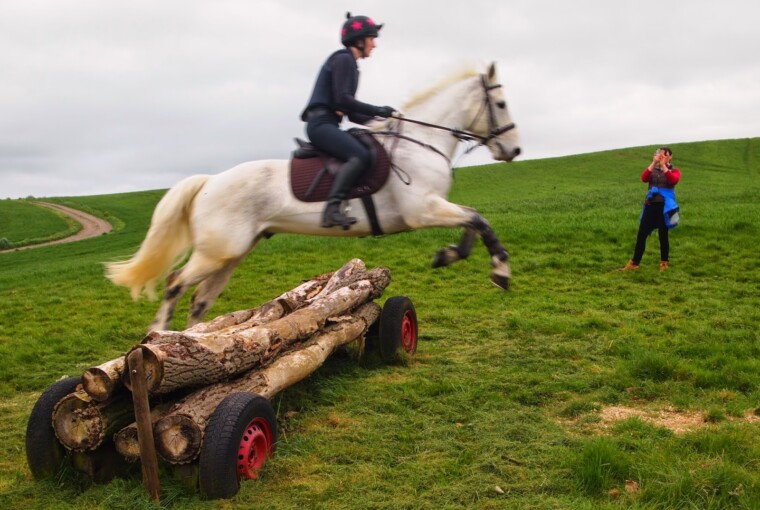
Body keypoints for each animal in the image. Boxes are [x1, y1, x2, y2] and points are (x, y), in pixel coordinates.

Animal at [106, 62, 521, 331]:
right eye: (501, 104)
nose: (514, 151)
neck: (421, 142)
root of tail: (210, 181)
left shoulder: (435, 208)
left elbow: (472, 221)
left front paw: (448, 255)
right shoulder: (423, 210)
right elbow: (479, 220)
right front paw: (500, 272)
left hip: (231, 253)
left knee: (201, 299)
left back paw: (195, 342)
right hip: (217, 251)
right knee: (176, 283)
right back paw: (159, 339)